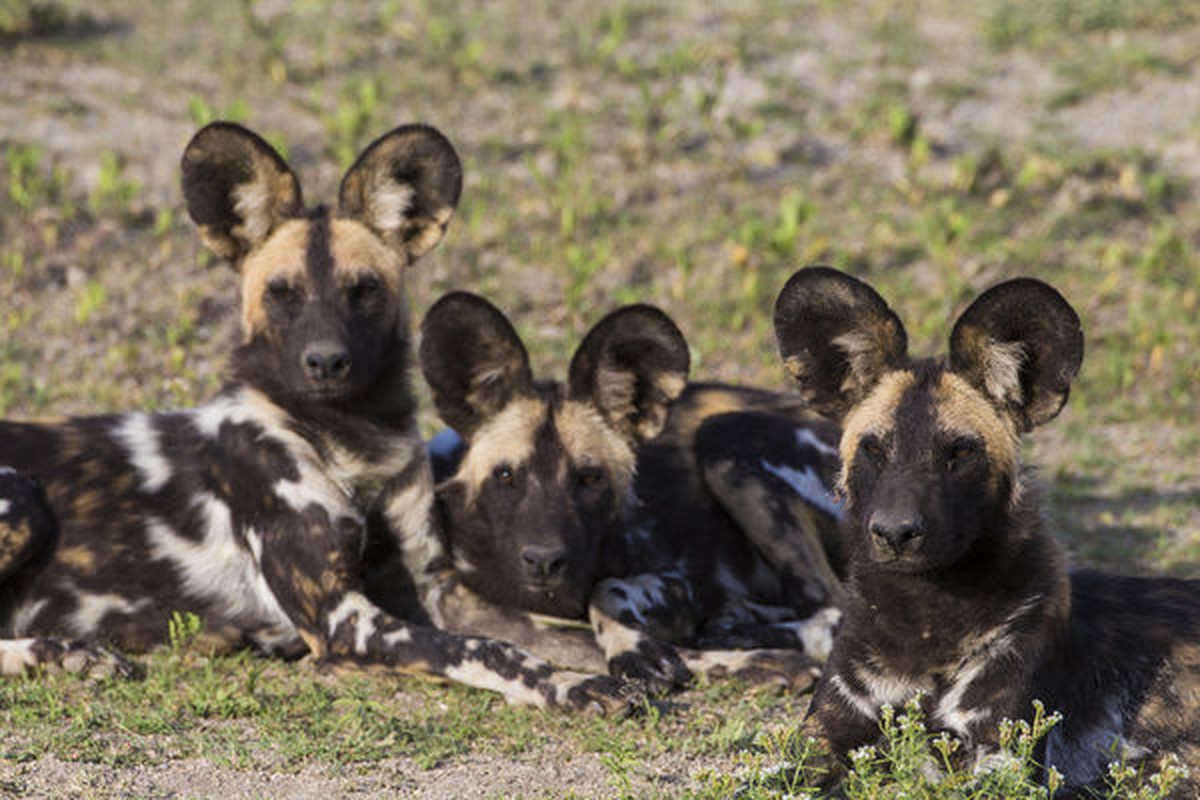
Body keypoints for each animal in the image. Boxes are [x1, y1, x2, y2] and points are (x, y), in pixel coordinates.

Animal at [0, 123, 638, 714]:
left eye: (365, 289)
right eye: (283, 292)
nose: (326, 361)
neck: (352, 445)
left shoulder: (438, 591)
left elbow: (561, 634)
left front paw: (640, 659)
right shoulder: (344, 620)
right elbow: (493, 649)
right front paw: (570, 686)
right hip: (22, 497)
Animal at [403, 291, 844, 690]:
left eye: (589, 478)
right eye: (506, 475)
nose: (544, 561)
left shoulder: (679, 585)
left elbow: (607, 589)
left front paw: (635, 646)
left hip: (726, 439)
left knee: (833, 608)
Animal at [772, 267, 1195, 796]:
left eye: (959, 453)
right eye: (873, 449)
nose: (895, 532)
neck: (926, 623)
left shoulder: (999, 755)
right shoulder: (823, 733)